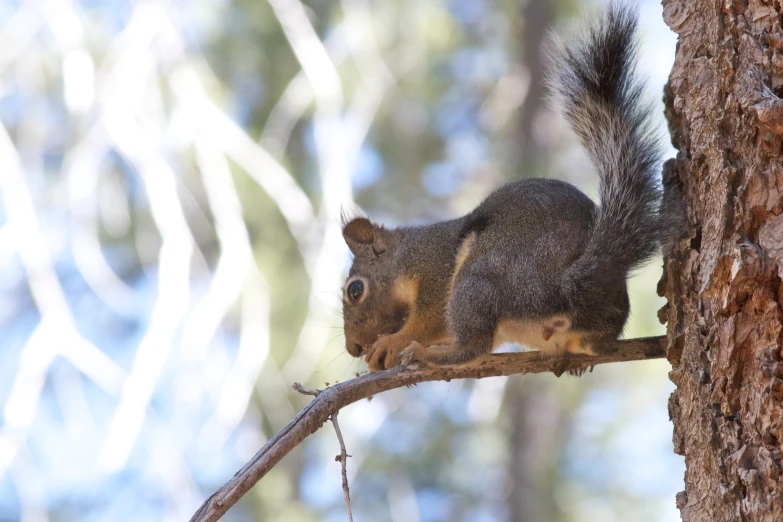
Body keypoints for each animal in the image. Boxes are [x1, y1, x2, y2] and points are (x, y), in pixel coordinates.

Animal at [342, 4, 680, 370]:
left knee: (473, 345)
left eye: (355, 290)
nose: (353, 348)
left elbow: (427, 319)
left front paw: (394, 341)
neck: (406, 257)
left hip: (477, 279)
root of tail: (564, 287)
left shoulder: (435, 268)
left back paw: (429, 355)